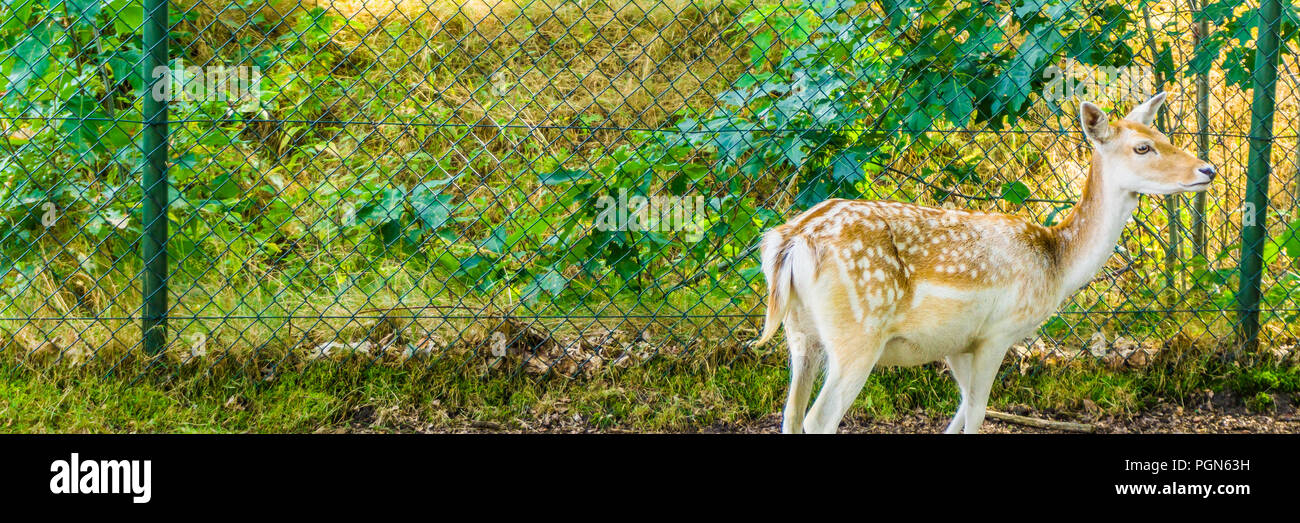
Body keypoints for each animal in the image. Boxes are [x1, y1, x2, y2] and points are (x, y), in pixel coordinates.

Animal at [759, 93, 1211, 431]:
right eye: (1142, 147)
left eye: (1160, 133)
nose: (1207, 168)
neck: (1057, 264)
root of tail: (792, 241)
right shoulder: (999, 332)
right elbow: (977, 412)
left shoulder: (958, 343)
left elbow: (960, 411)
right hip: (857, 335)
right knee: (818, 419)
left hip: (800, 334)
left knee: (791, 415)